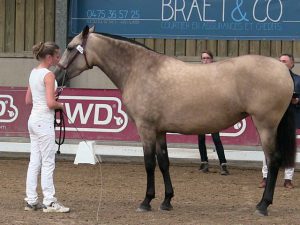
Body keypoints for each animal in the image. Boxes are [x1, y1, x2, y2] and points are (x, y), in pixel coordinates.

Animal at [54, 25, 296, 216]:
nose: (56, 76)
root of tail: (283, 69)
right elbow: (164, 163)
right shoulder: (159, 130)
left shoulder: (146, 129)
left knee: (273, 160)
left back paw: (263, 205)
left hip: (265, 126)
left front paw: (146, 201)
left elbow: (149, 164)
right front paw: (166, 200)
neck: (140, 70)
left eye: (70, 48)